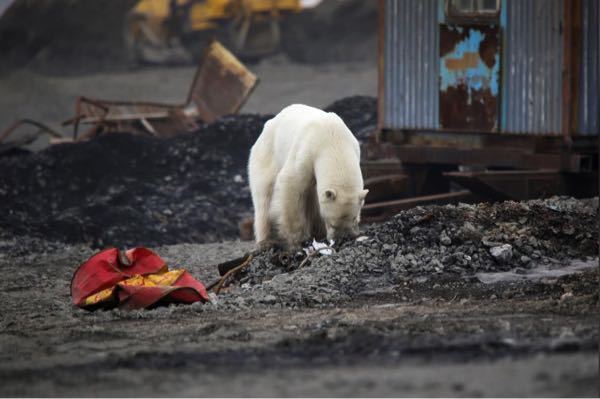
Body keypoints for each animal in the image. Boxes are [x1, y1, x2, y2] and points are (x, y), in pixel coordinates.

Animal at [247, 104, 368, 252]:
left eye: (354, 217)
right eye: (332, 223)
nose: (342, 238)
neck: (333, 139)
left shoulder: (354, 147)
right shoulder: (306, 151)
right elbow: (290, 184)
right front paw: (298, 240)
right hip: (266, 154)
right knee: (264, 195)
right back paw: (266, 241)